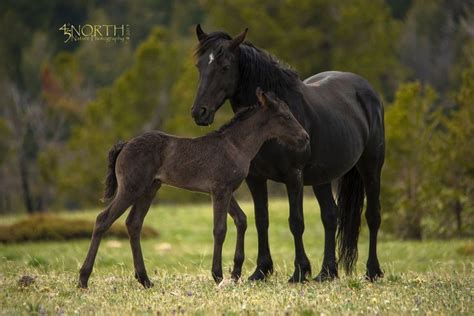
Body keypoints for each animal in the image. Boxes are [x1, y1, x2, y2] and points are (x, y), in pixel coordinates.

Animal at [78, 88, 310, 288]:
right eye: (285, 116)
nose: (305, 137)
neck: (235, 146)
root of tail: (124, 145)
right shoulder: (219, 190)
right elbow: (220, 229)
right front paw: (218, 275)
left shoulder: (226, 191)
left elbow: (241, 220)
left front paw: (235, 273)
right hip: (131, 187)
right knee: (103, 219)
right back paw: (83, 279)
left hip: (150, 188)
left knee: (133, 224)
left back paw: (145, 280)